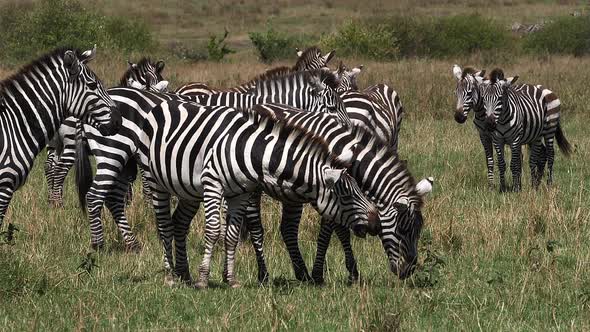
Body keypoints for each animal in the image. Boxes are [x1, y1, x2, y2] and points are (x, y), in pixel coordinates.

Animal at [44, 58, 166, 206]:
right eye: (160, 78)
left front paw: (127, 200)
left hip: (54, 143)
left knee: (49, 166)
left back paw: (51, 201)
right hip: (71, 143)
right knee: (60, 169)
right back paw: (58, 204)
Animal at [137, 101, 380, 288]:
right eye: (347, 196)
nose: (376, 223)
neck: (249, 151)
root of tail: (163, 104)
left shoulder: (241, 193)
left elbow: (232, 235)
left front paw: (231, 279)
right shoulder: (213, 183)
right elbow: (214, 231)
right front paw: (203, 279)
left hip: (188, 189)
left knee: (179, 222)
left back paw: (184, 274)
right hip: (154, 179)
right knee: (165, 226)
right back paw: (170, 276)